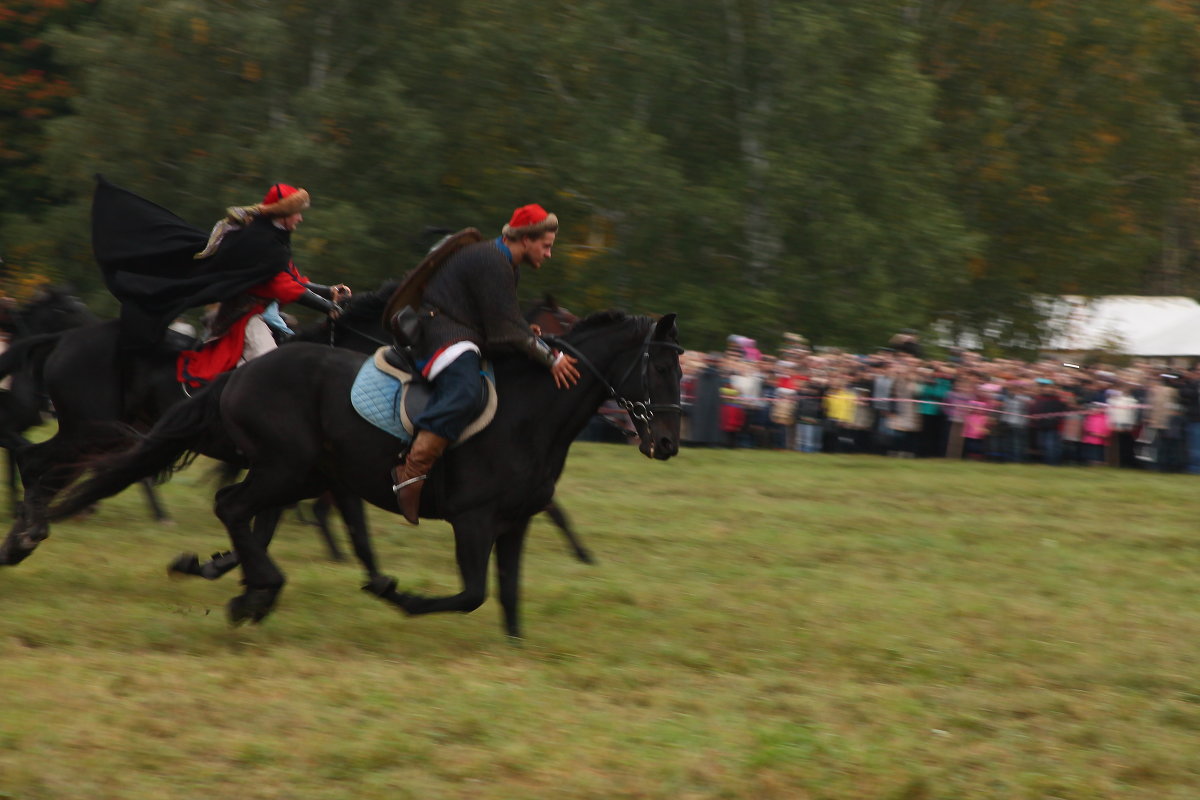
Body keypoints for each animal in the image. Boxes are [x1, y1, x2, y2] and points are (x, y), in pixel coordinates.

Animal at [49, 311, 686, 638]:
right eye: (659, 366)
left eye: (682, 366)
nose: (667, 442)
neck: (529, 414)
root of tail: (243, 372)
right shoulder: (474, 521)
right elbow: (472, 595)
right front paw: (400, 597)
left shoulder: (514, 524)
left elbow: (506, 600)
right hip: (284, 467)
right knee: (232, 505)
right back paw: (256, 590)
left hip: (301, 473)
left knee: (247, 514)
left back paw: (244, 586)